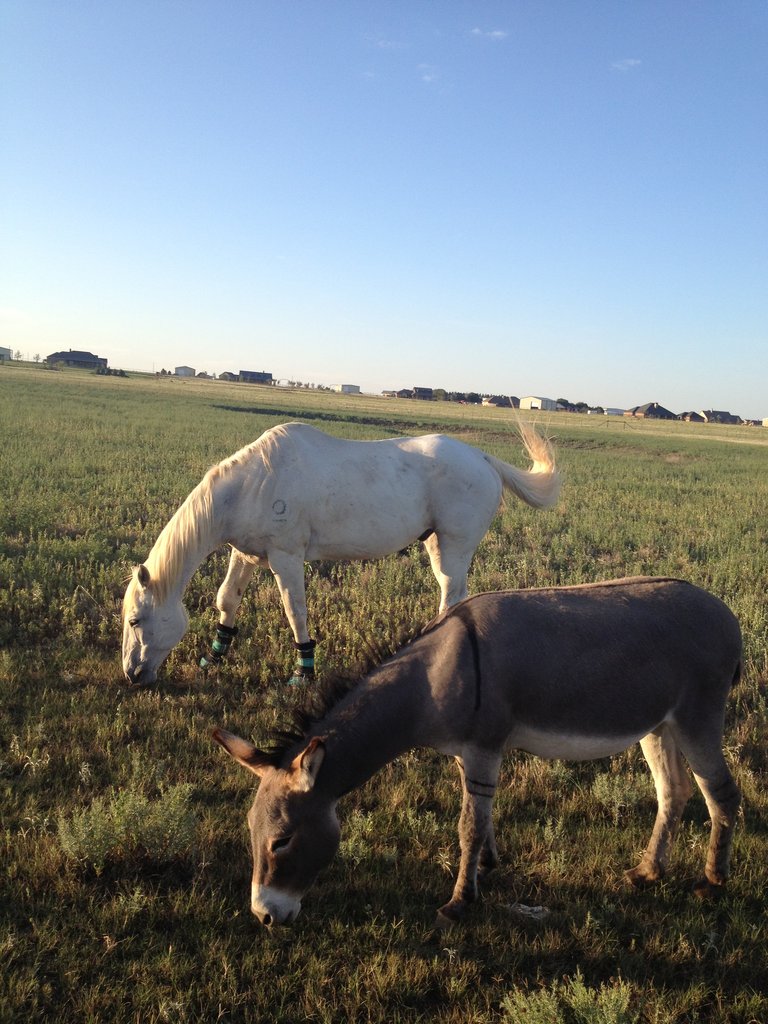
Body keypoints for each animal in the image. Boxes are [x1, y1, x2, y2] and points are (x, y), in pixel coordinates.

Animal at [121, 419, 559, 686]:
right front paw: (214, 657)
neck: (252, 484)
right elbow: (226, 599)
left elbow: (295, 611)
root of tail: (483, 458)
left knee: (452, 595)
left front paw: (303, 673)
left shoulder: (285, 556)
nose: (132, 674)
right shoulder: (245, 555)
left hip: (454, 546)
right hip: (436, 544)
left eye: (135, 620)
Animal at [213, 577, 742, 928]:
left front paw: (459, 901)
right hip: (658, 724)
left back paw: (712, 881)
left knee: (722, 793)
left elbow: (467, 825)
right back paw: (648, 872)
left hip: (698, 715)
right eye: (250, 831)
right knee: (673, 792)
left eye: (281, 841)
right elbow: (480, 818)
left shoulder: (484, 747)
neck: (434, 673)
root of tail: (725, 611)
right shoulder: (467, 755)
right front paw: (487, 865)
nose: (264, 916)